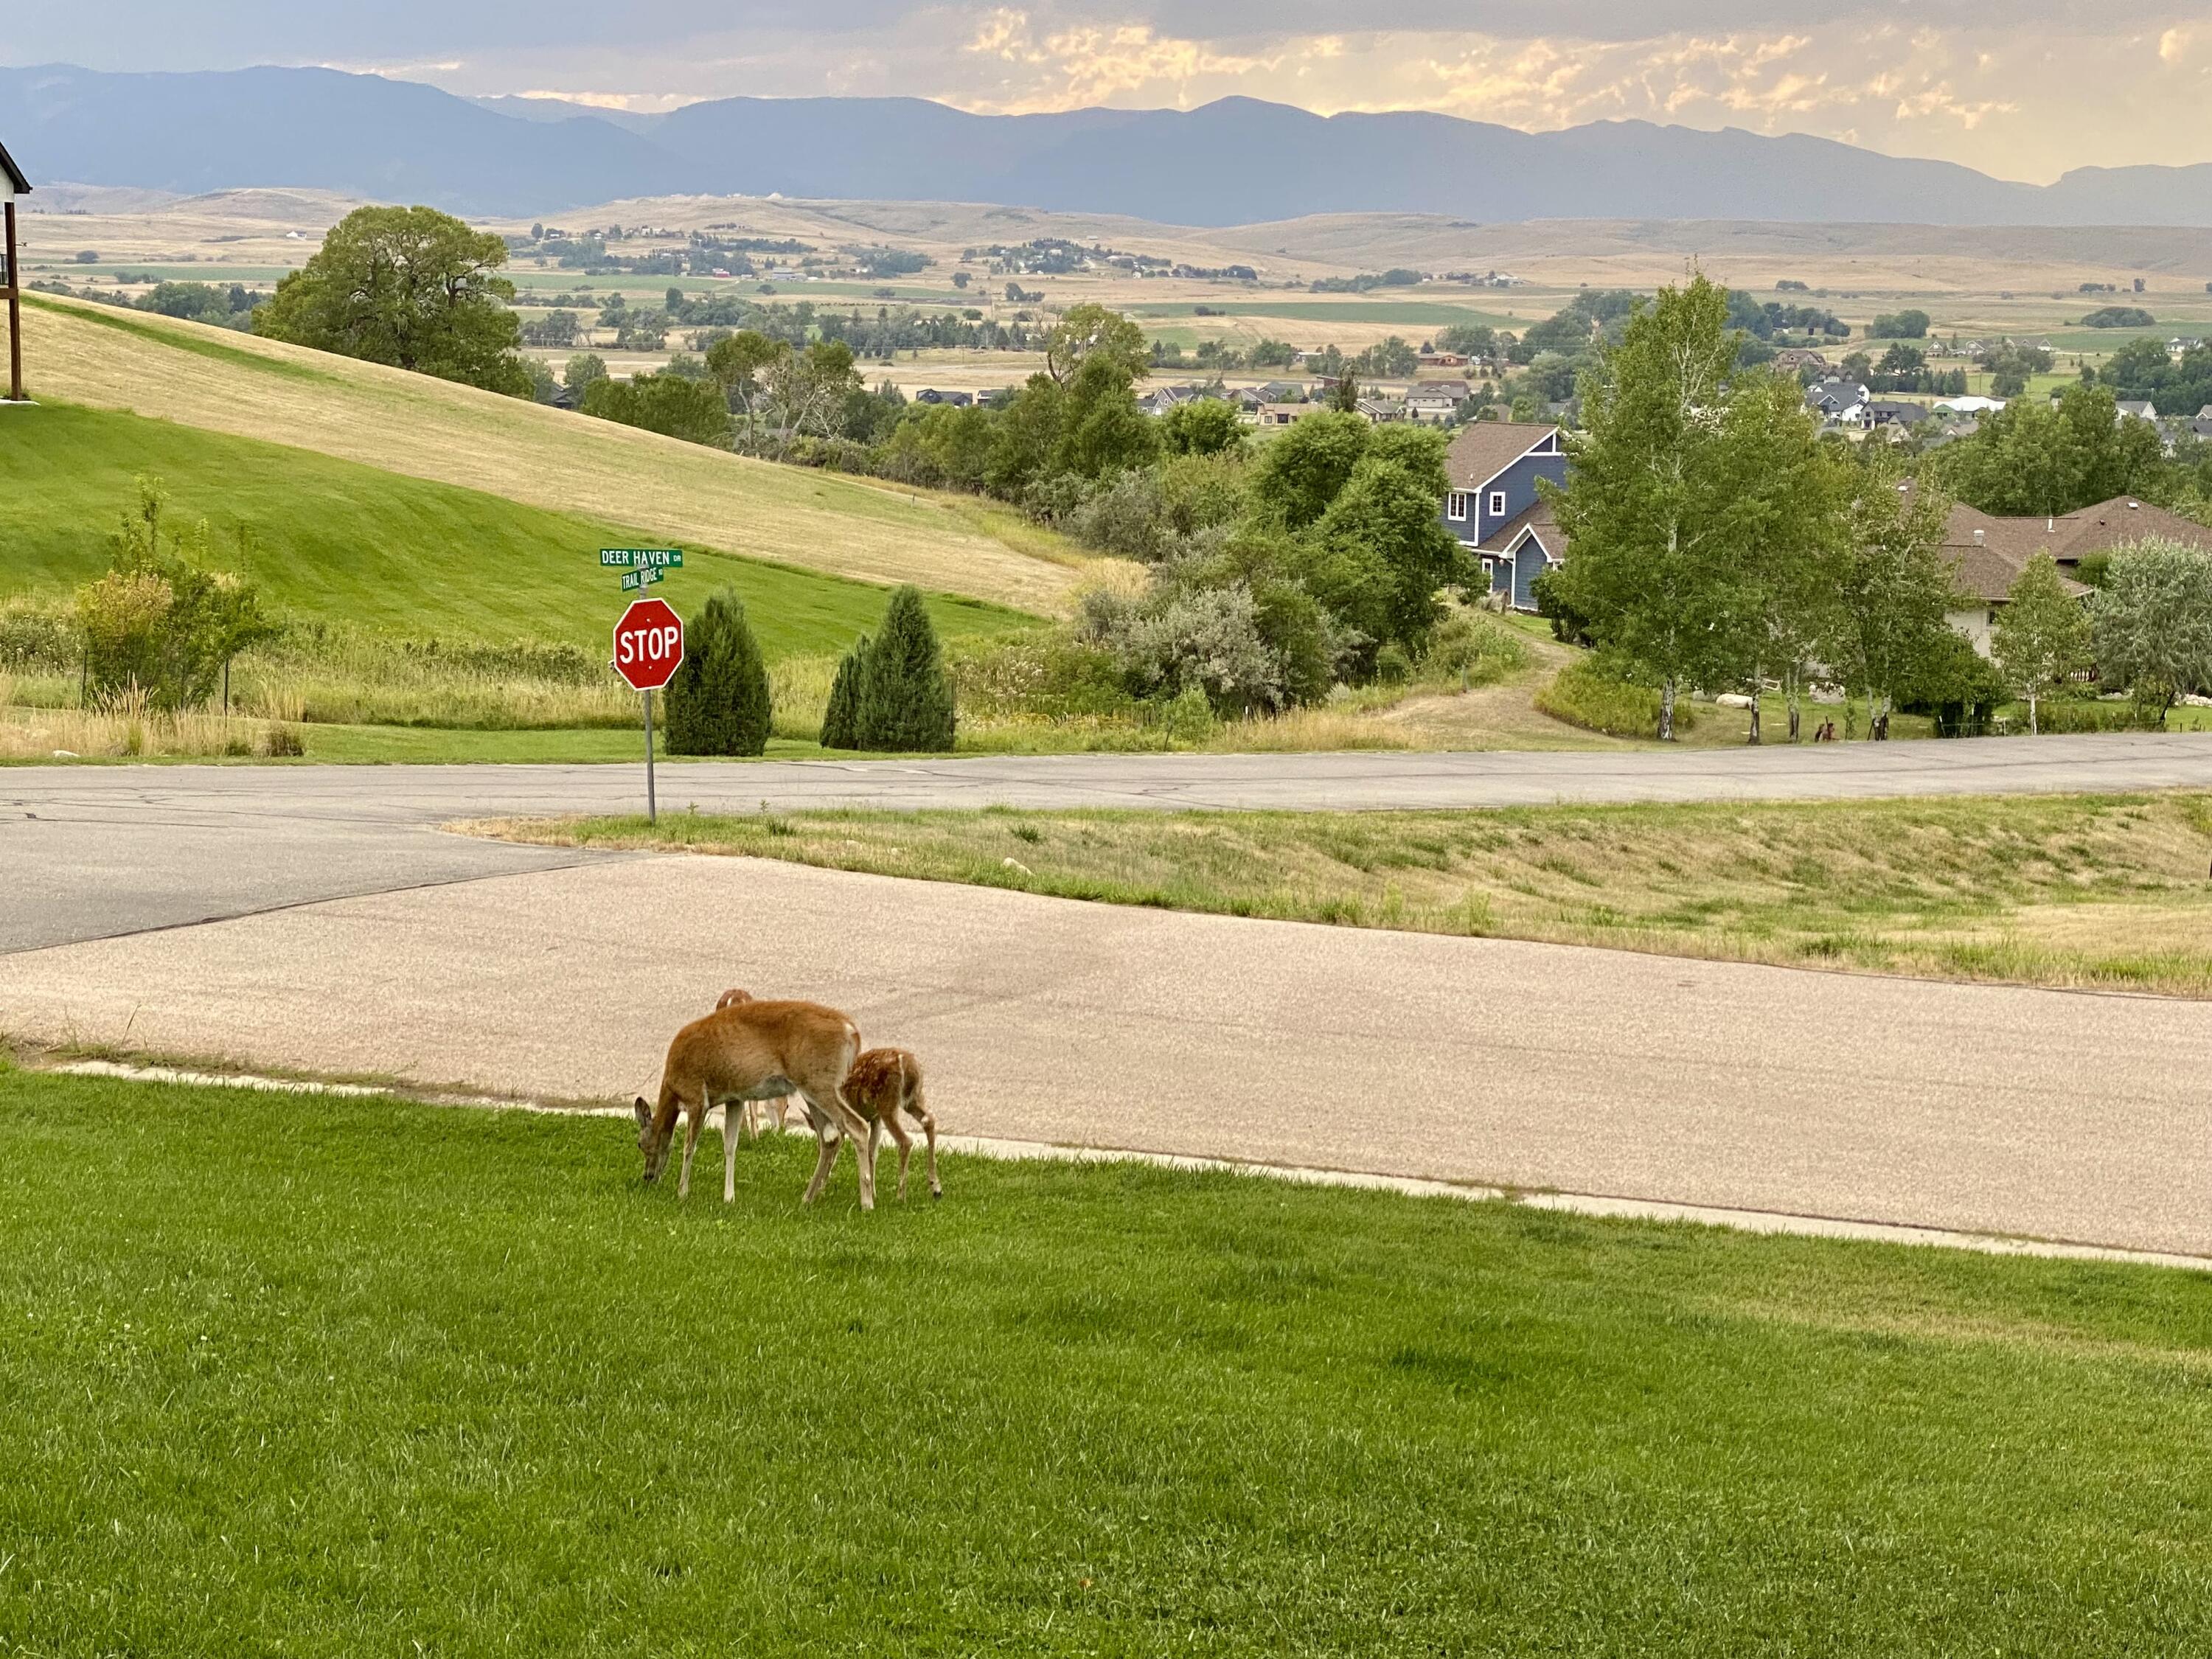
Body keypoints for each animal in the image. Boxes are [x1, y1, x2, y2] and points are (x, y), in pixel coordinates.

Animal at [633, 996, 874, 1209]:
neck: (672, 1086)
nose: (648, 1176)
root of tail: (852, 1031)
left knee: (857, 1126)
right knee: (830, 1138)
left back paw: (867, 1202)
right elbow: (730, 1145)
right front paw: (729, 1198)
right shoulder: (734, 1098)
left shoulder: (696, 1096)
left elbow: (689, 1146)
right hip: (812, 1087)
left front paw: (682, 1192)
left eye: (640, 1144)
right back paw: (808, 1198)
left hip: (819, 1082)